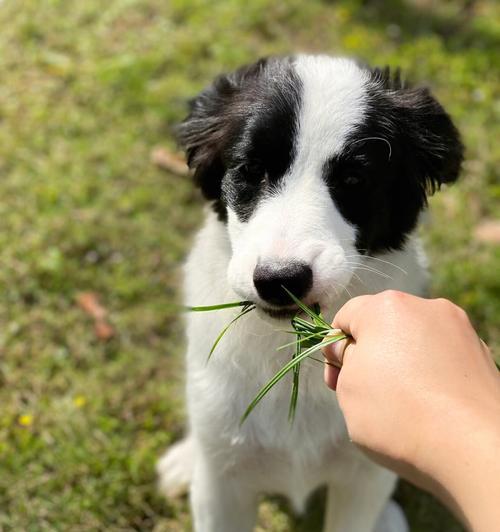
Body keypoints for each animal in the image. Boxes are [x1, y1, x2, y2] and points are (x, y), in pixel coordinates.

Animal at [158, 55, 462, 532]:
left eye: (354, 180)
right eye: (250, 171)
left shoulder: (364, 476)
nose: (280, 279)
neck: (287, 349)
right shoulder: (222, 485)